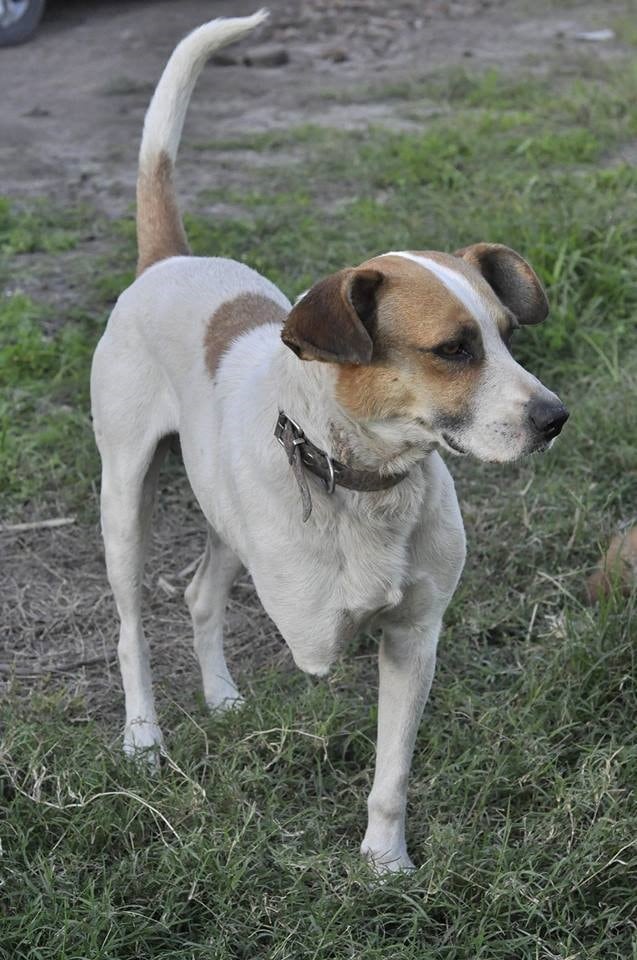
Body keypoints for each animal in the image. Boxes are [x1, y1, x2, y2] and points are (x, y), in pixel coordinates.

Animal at [88, 11, 568, 872]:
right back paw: (143, 736)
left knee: (200, 592)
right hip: (124, 501)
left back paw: (220, 696)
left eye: (508, 336)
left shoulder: (414, 636)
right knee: (132, 625)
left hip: (217, 507)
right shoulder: (317, 635)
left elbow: (392, 769)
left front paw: (384, 861)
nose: (554, 417)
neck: (366, 486)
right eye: (453, 349)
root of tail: (168, 259)